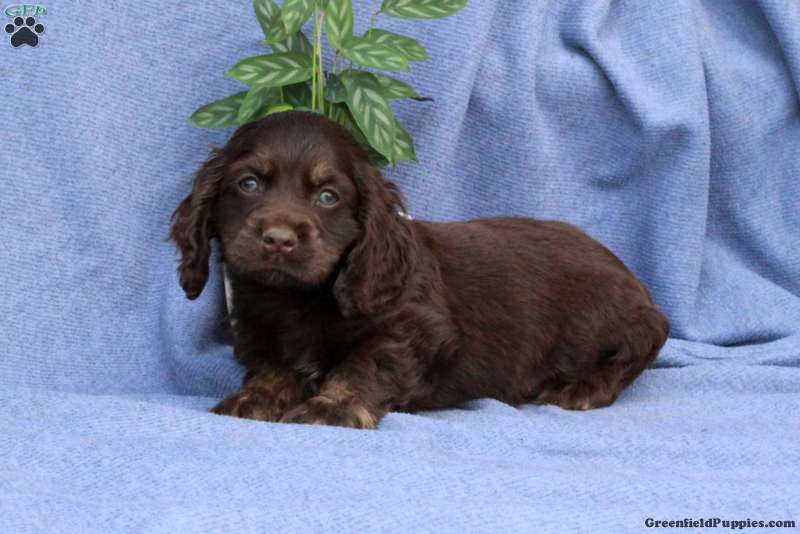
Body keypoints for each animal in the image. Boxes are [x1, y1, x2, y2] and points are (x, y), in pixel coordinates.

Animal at [170, 111, 669, 428]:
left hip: (599, 326)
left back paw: (582, 388)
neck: (296, 298)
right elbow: (273, 368)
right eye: (248, 184)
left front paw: (331, 407)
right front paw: (252, 398)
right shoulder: (260, 335)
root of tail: (633, 281)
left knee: (642, 345)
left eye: (328, 196)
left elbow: (363, 366)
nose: (278, 239)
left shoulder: (414, 328)